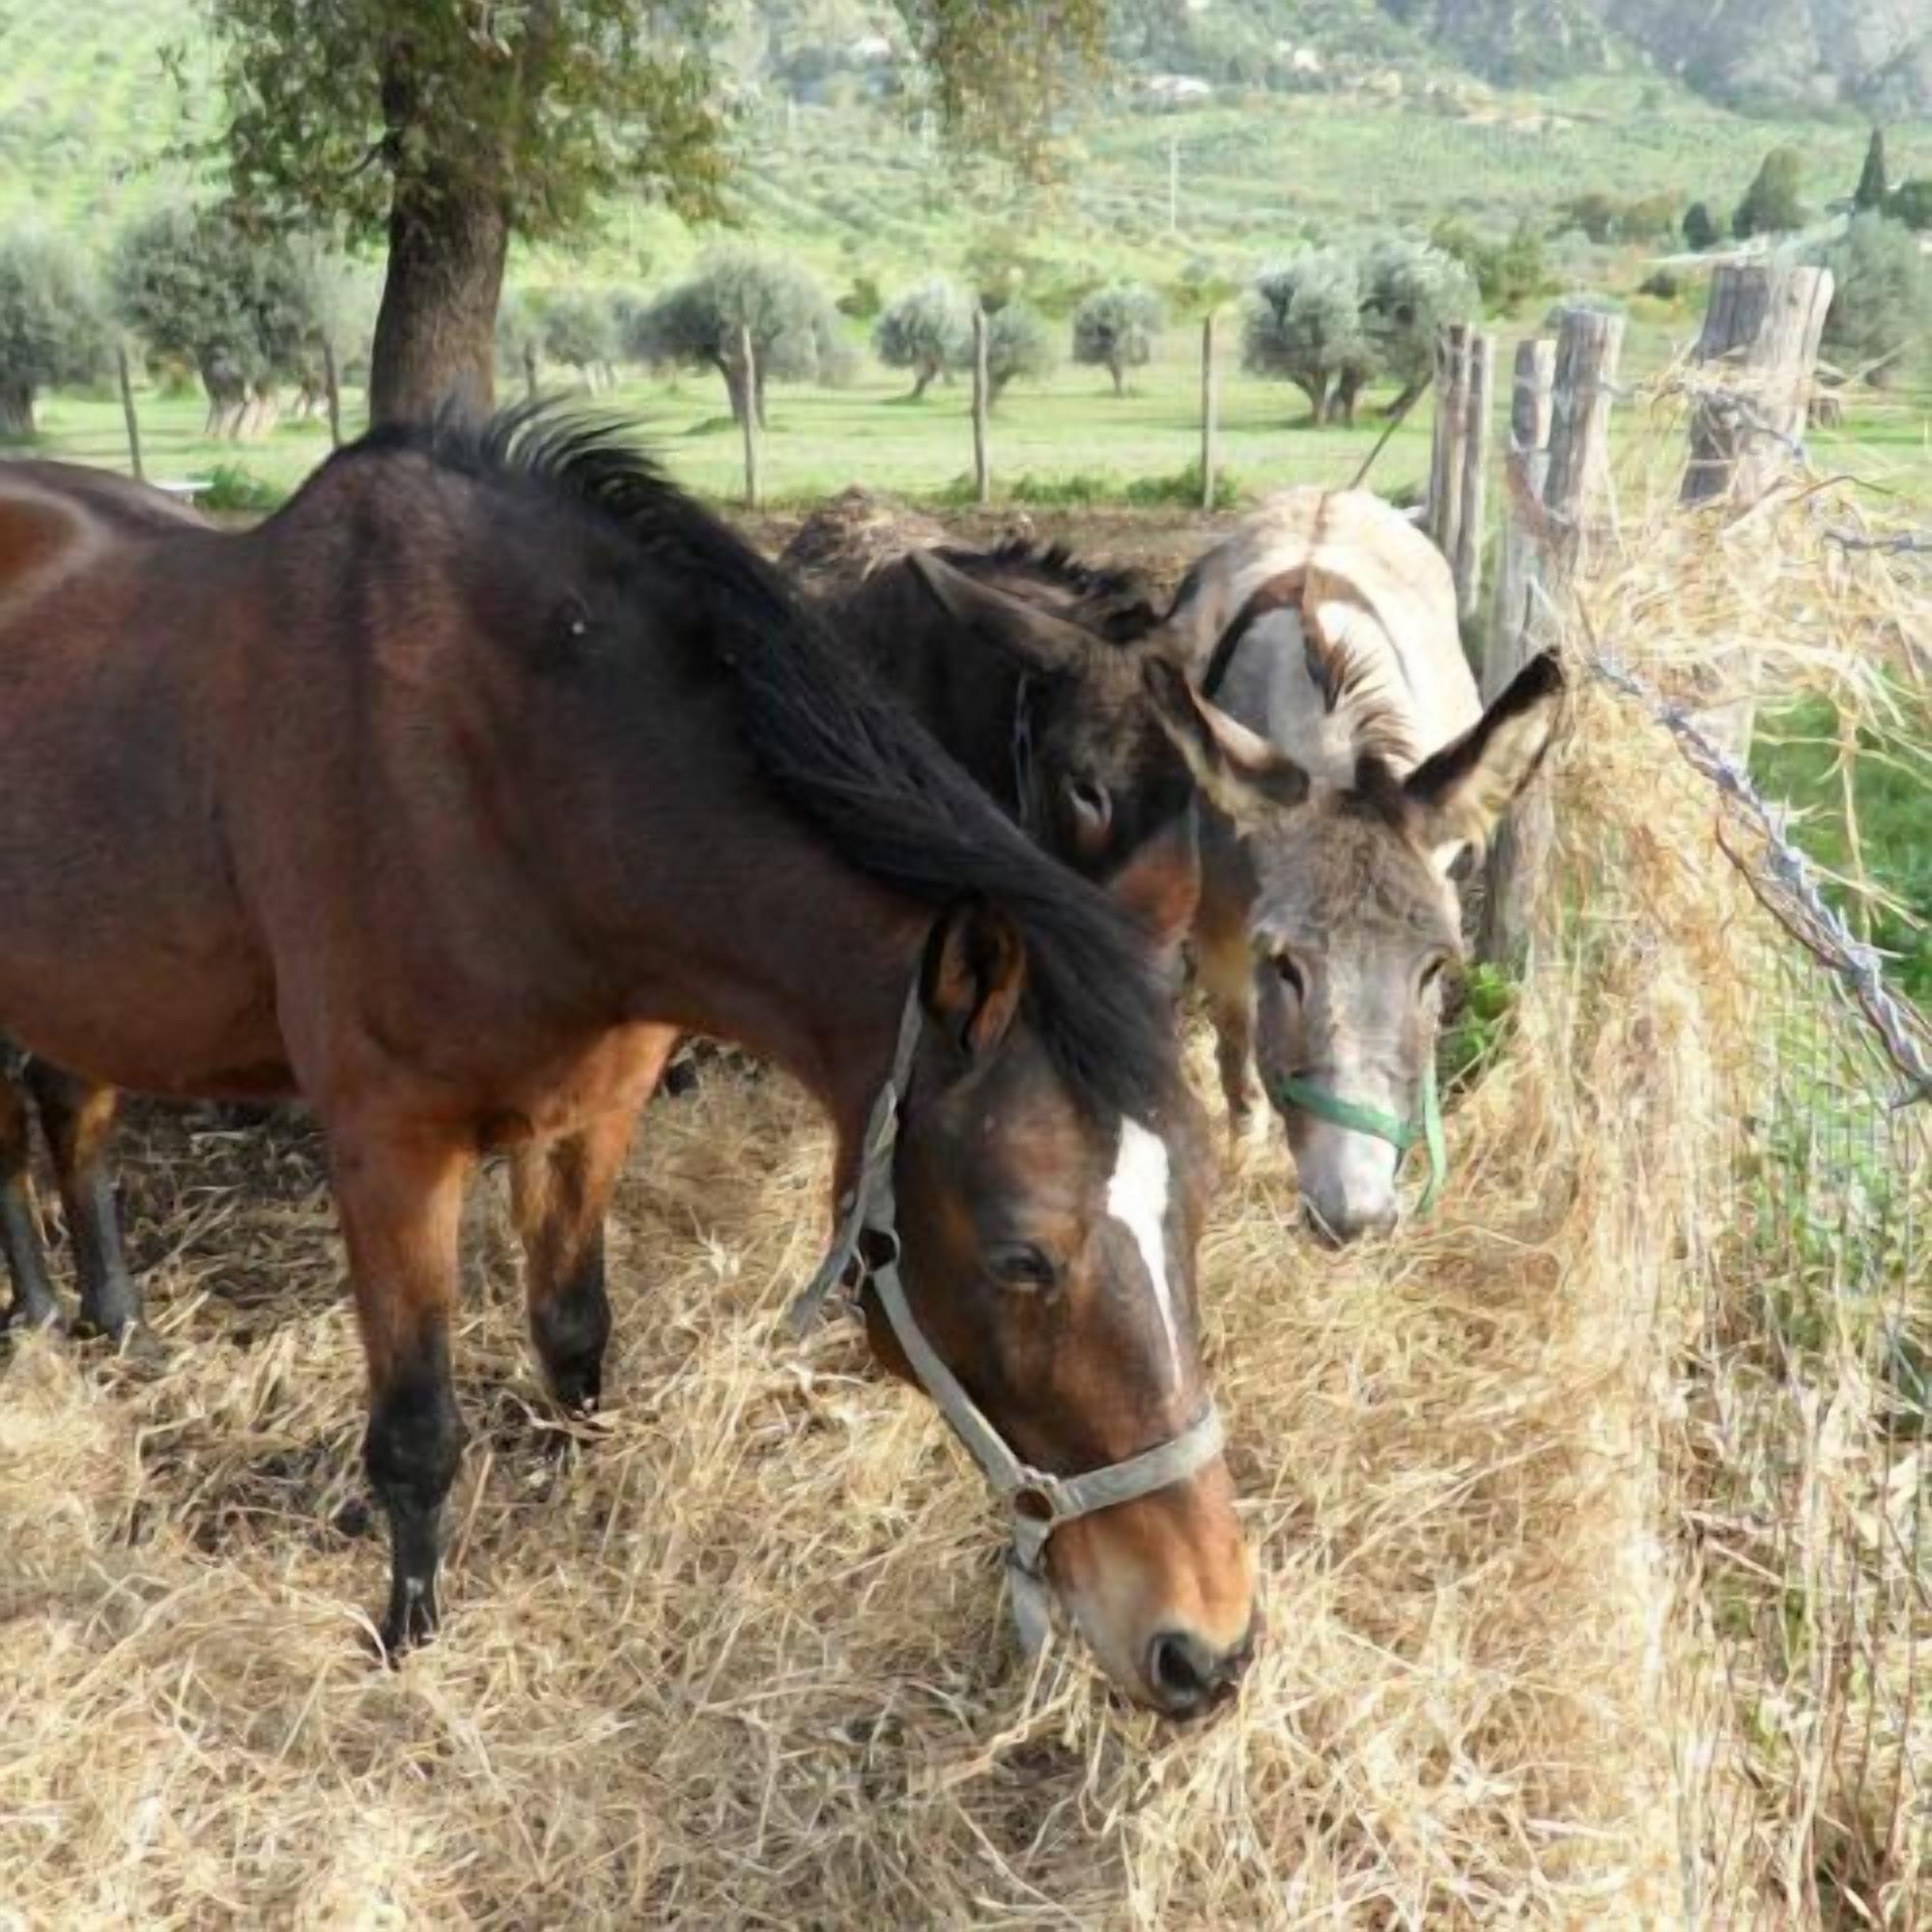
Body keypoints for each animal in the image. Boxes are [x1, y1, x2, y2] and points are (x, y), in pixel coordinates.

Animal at [0, 412, 1256, 1713]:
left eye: (1197, 1214)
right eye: (1020, 1257)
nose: (1206, 1644)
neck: (511, 775)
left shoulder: (588, 1115)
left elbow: (574, 1339)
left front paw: (578, 1514)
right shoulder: (389, 1149)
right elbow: (416, 1428)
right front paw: (410, 1641)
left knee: (69, 1105)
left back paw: (115, 1321)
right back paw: (42, 1311)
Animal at [1161, 487, 1564, 1241]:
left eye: (1435, 968)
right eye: (1285, 967)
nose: (1357, 1217)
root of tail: (1327, 494)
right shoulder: (1221, 927)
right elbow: (1236, 1037)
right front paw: (1245, 1144)